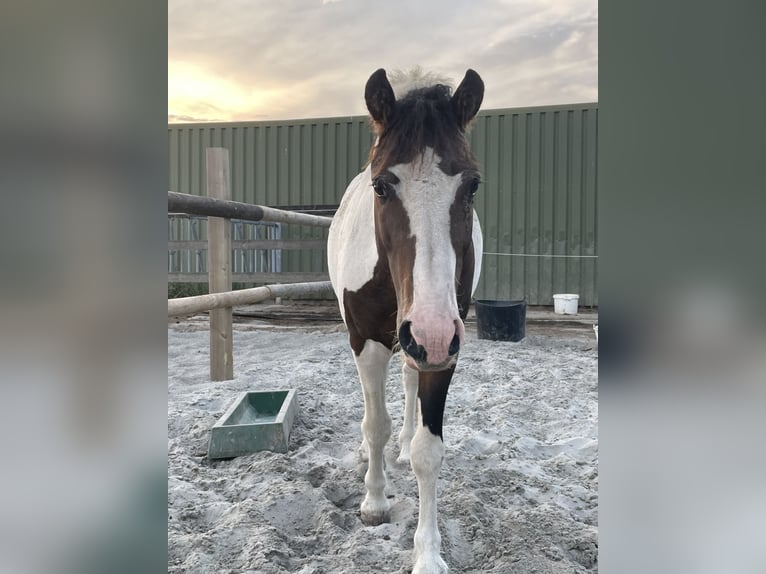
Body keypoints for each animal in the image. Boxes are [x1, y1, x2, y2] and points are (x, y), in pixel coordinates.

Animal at [328, 68, 486, 574]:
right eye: (382, 186)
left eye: (472, 186)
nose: (430, 333)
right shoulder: (367, 340)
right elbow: (373, 423)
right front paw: (374, 502)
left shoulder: (443, 350)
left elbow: (428, 452)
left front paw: (428, 554)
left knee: (409, 382)